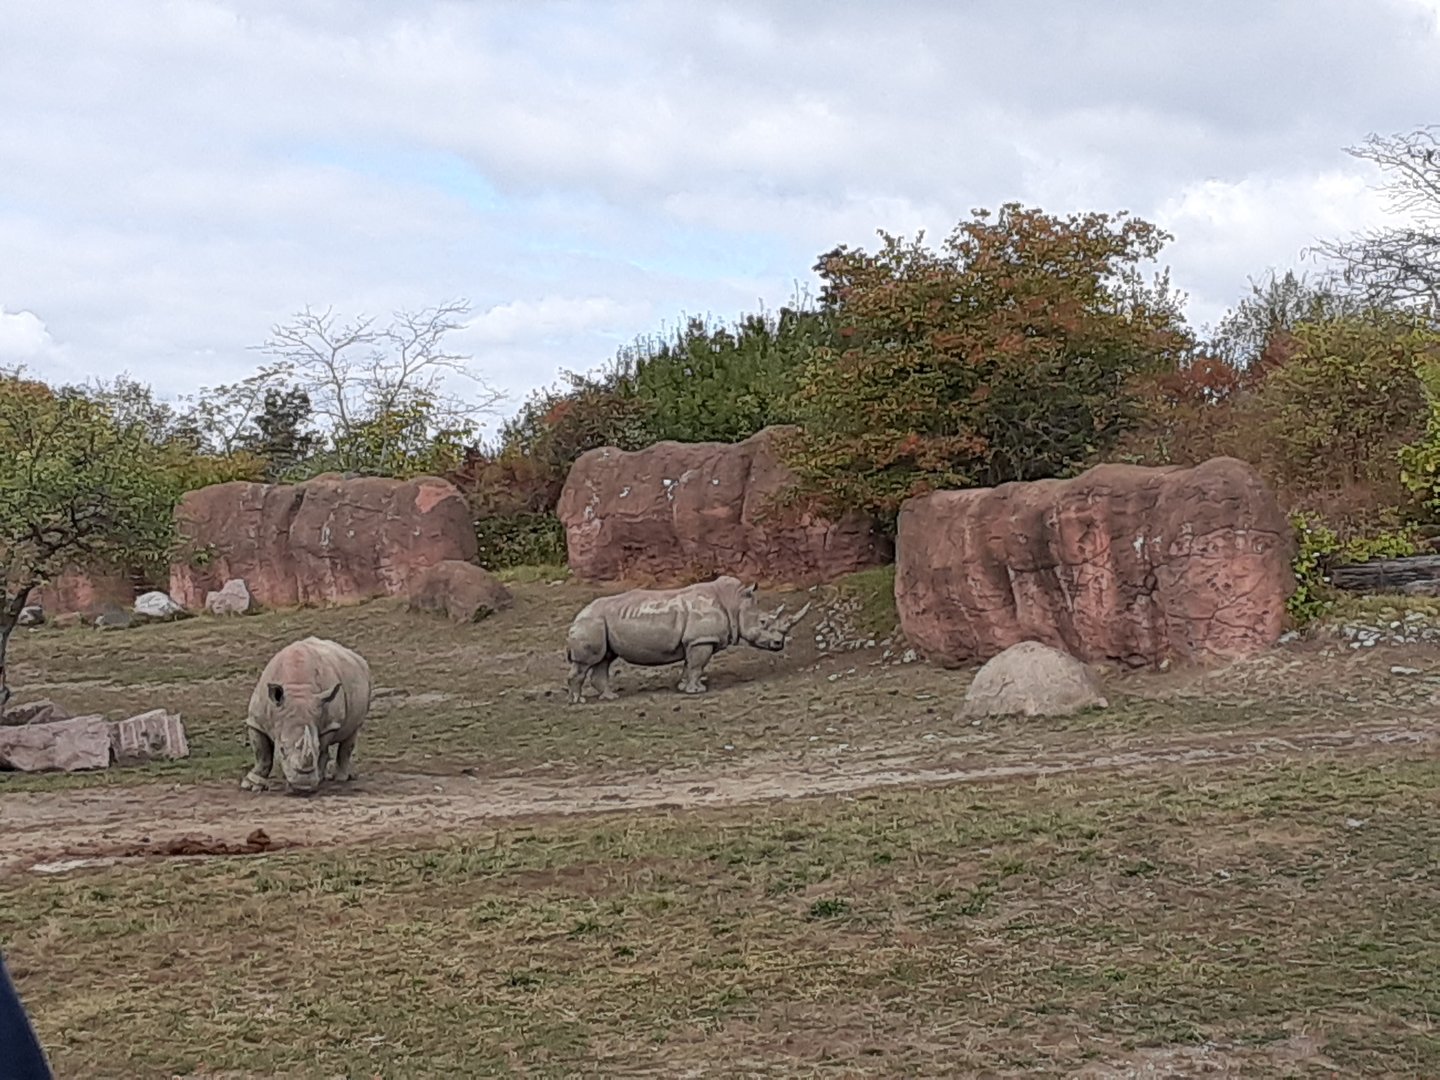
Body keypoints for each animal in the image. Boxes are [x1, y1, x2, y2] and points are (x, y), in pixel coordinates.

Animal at [241, 636, 372, 796]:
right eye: (282, 749)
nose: (302, 787)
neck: (297, 690)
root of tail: (358, 659)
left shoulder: (329, 724)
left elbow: (322, 749)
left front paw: (316, 780)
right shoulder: (256, 721)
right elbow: (262, 753)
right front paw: (251, 785)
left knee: (351, 733)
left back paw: (340, 778)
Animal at [565, 575, 811, 703]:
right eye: (763, 622)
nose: (779, 644)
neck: (734, 604)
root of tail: (576, 617)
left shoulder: (693, 640)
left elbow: (689, 665)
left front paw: (685, 687)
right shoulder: (701, 639)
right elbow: (696, 665)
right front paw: (697, 691)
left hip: (599, 624)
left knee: (604, 660)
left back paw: (610, 697)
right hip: (591, 623)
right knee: (587, 663)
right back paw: (579, 701)